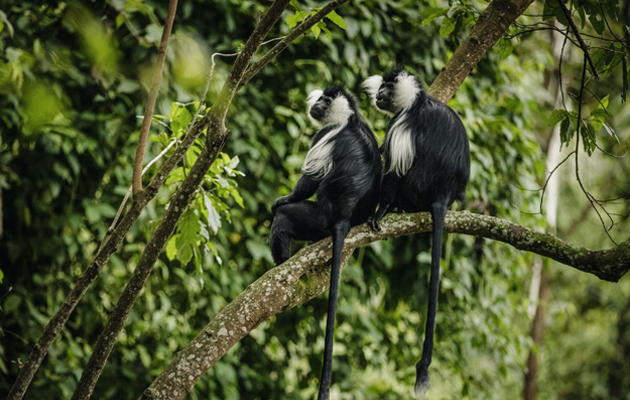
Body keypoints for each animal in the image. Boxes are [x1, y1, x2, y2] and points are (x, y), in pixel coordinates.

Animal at [270, 86, 380, 398]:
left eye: (326, 101)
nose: (316, 104)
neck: (349, 119)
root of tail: (343, 216)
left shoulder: (325, 136)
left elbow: (308, 180)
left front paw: (283, 198)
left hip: (316, 218)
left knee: (285, 219)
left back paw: (281, 263)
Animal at [362, 69, 472, 396]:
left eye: (387, 87)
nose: (378, 94)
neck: (416, 102)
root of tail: (443, 194)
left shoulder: (401, 125)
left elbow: (393, 171)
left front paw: (380, 211)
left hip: (416, 188)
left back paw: (395, 209)